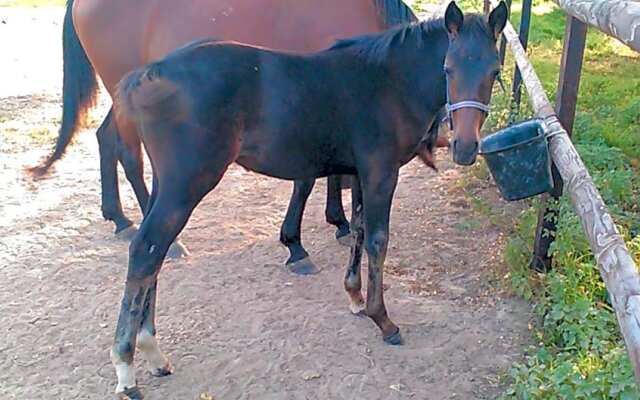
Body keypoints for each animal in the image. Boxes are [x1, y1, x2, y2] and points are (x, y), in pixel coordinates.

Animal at [31, 0, 436, 274]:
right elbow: (307, 179)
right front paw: (296, 245)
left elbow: (331, 170)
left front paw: (338, 221)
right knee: (129, 155)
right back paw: (163, 237)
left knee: (105, 139)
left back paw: (118, 217)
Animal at [111, 3, 510, 396]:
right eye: (448, 68)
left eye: (494, 71)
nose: (465, 147)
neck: (390, 81)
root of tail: (147, 75)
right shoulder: (381, 172)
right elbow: (378, 240)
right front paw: (383, 320)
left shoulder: (360, 171)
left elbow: (359, 227)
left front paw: (355, 297)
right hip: (187, 184)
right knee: (145, 251)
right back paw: (127, 367)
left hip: (167, 185)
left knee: (155, 254)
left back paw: (152, 353)